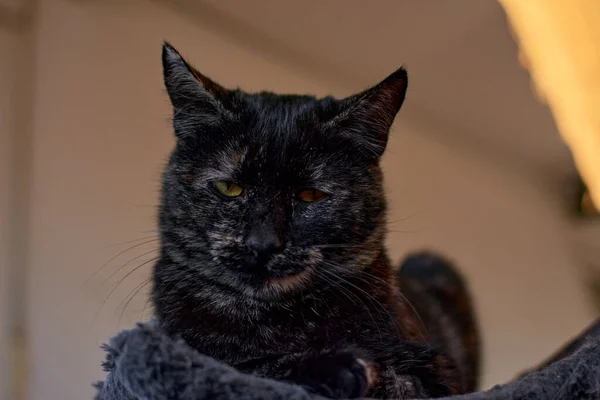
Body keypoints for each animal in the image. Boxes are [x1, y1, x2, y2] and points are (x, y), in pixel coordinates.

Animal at [152, 42, 480, 398]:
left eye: (310, 195)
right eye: (230, 188)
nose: (262, 244)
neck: (274, 322)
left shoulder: (440, 370)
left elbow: (404, 377)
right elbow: (250, 366)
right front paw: (338, 367)